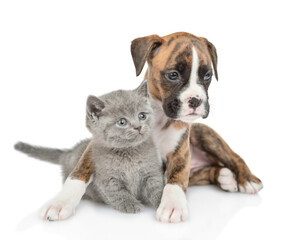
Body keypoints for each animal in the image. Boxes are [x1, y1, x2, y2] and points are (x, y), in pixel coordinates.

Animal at [15, 83, 165, 214]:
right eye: (122, 122)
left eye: (142, 115)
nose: (138, 127)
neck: (129, 153)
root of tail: (68, 153)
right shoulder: (106, 179)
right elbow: (117, 193)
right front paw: (130, 204)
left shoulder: (151, 173)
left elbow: (157, 188)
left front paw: (161, 203)